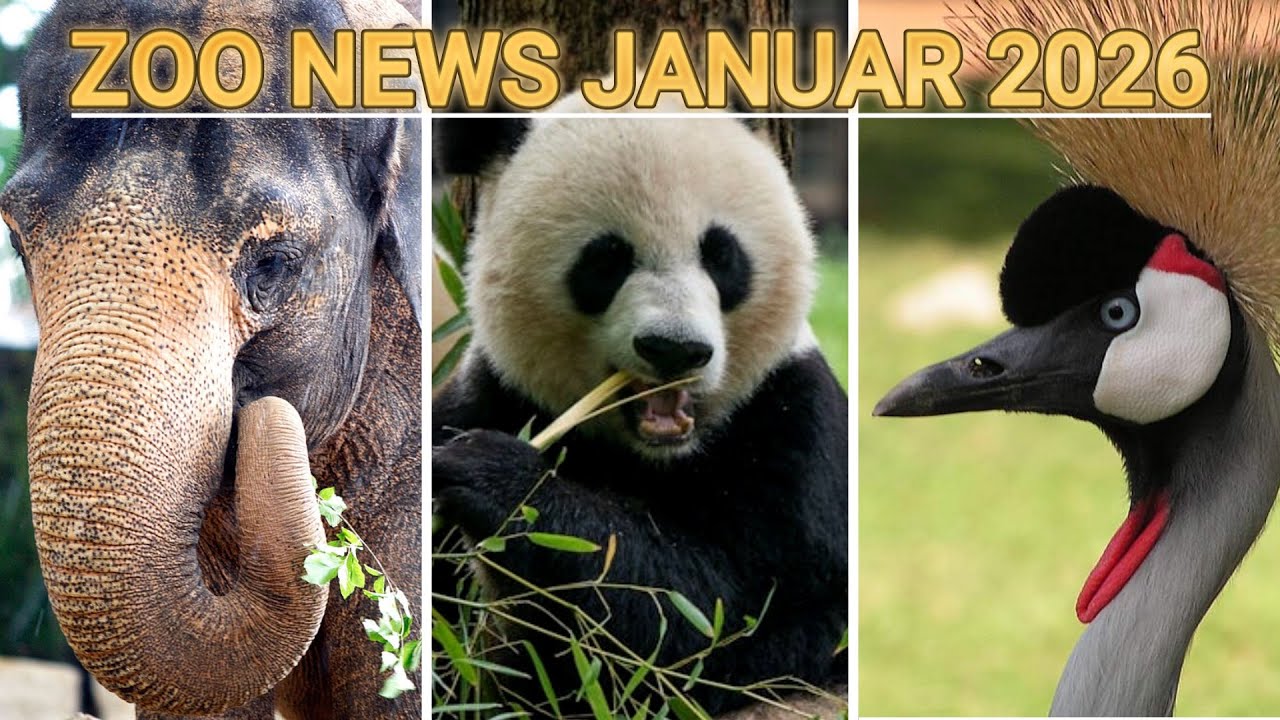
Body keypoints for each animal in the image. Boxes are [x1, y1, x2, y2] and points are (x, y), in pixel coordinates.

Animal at [432, 95, 848, 718]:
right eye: (606, 260)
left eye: (721, 254)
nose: (674, 349)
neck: (655, 455)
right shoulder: (494, 394)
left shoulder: (794, 434)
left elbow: (707, 614)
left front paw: (497, 478)